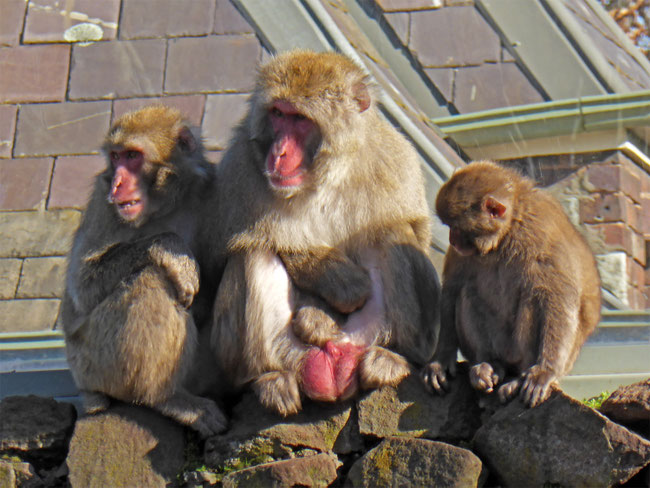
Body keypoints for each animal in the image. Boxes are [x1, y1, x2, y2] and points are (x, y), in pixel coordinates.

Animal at [60, 105, 227, 437]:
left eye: (132, 156)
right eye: (115, 157)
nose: (117, 183)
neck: (166, 206)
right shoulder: (102, 202)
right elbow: (82, 287)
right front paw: (171, 250)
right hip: (92, 362)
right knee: (150, 279)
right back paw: (166, 398)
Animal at [208, 50, 441, 417]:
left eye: (300, 120)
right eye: (278, 114)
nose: (279, 152)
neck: (324, 177)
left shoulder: (394, 157)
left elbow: (416, 230)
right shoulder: (240, 165)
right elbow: (225, 257)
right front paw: (338, 287)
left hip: (368, 333)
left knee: (392, 233)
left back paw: (395, 357)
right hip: (285, 352)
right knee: (252, 252)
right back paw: (269, 376)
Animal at [422, 160, 601, 408]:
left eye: (456, 228)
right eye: (450, 227)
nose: (452, 240)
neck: (507, 232)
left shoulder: (540, 234)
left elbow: (558, 298)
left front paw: (545, 371)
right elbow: (452, 288)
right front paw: (441, 359)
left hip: (520, 352)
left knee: (534, 297)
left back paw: (518, 377)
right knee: (467, 293)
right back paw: (488, 364)